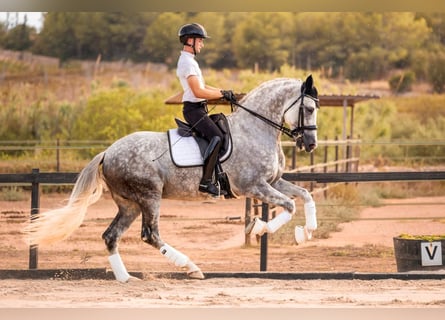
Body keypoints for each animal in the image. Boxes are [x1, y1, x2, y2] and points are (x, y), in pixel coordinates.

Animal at [24, 74, 320, 282]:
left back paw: (125, 278)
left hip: (129, 204)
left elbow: (305, 196)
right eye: (308, 109)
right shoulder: (254, 185)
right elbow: (289, 206)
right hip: (149, 196)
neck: (255, 129)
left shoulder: (273, 182)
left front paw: (305, 232)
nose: (310, 144)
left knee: (111, 236)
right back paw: (191, 267)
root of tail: (107, 153)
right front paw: (259, 229)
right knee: (150, 235)